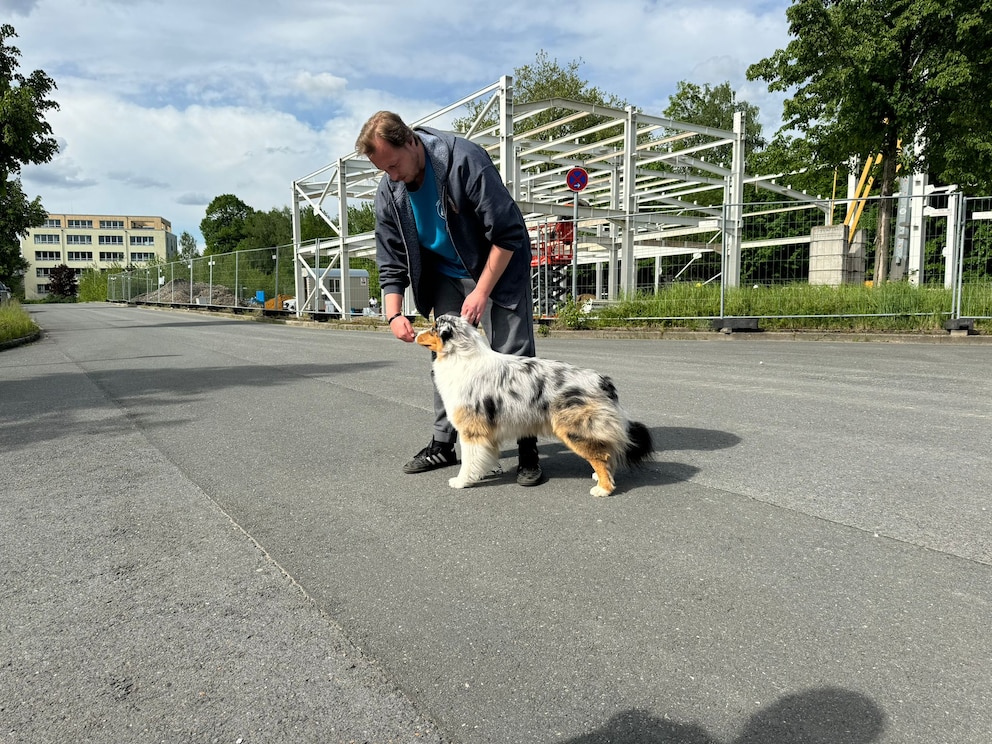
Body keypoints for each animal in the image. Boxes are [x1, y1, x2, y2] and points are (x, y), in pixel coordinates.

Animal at [416, 310, 656, 496]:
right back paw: (600, 477)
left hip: (574, 429)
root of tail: (602, 381)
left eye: (433, 328)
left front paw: (462, 481)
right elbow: (485, 456)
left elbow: (469, 460)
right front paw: (483, 472)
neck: (460, 356)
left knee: (602, 455)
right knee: (607, 453)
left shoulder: (471, 429)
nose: (414, 334)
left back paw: (603, 489)